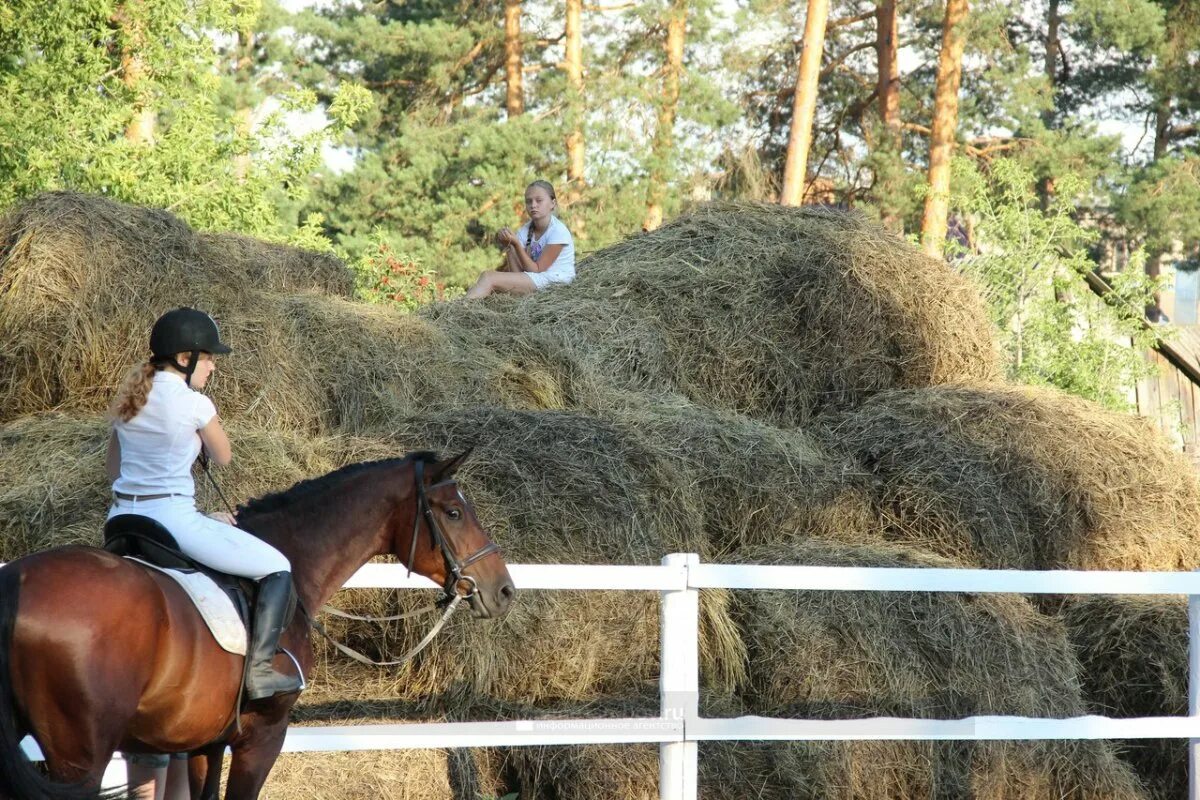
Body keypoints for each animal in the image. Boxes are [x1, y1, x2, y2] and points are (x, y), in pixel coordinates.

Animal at [0, 453, 511, 796]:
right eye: (454, 513)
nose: (503, 589)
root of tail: (15, 580)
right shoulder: (262, 737)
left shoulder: (203, 743)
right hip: (80, 759)